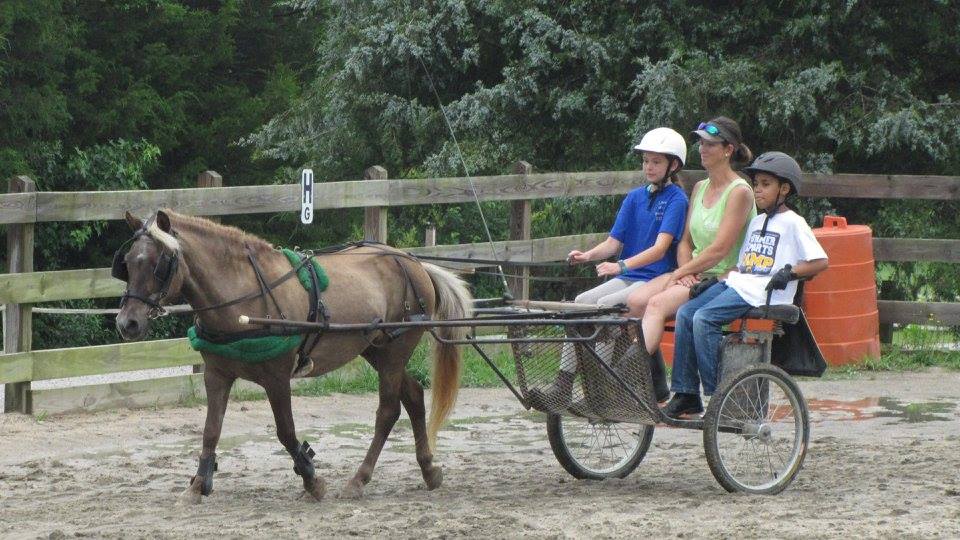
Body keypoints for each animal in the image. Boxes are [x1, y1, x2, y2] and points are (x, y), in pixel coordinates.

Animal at [114, 210, 474, 502]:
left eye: (159, 263)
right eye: (128, 262)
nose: (127, 323)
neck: (242, 293)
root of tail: (415, 263)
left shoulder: (276, 377)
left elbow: (285, 432)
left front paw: (312, 480)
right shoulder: (217, 375)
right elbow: (210, 431)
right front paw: (198, 484)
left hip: (394, 351)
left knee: (388, 411)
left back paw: (358, 480)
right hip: (376, 350)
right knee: (413, 395)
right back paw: (429, 470)